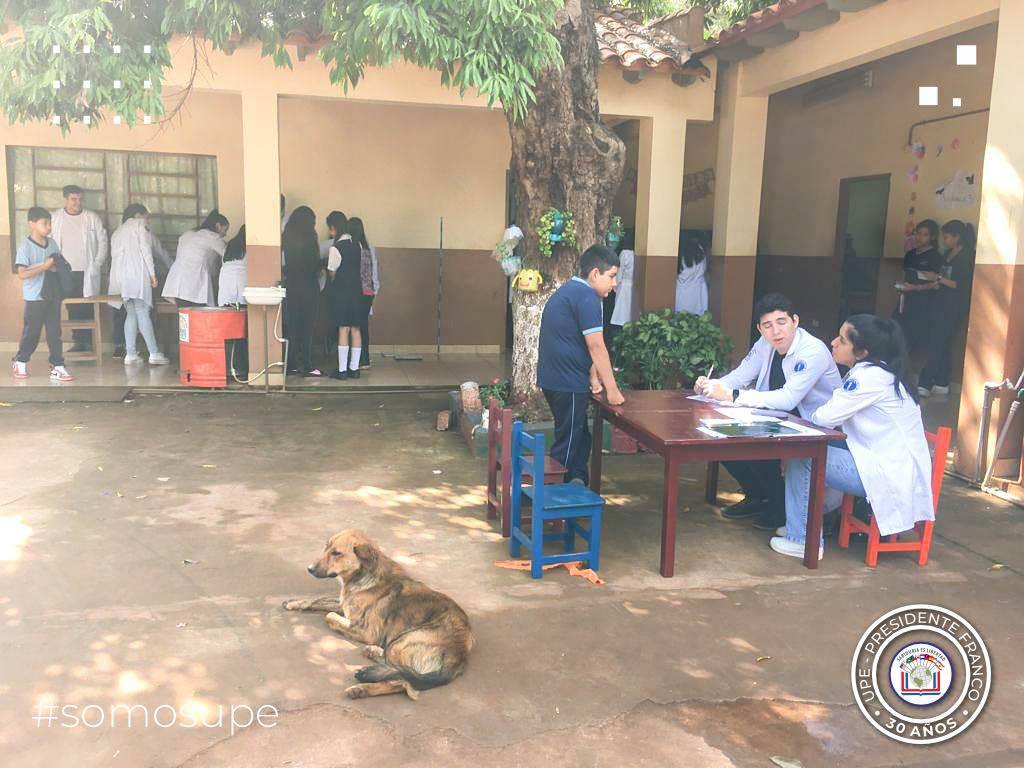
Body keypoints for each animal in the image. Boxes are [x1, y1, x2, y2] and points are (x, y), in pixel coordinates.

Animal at [280, 532, 471, 700]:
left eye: (336, 553)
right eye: (326, 548)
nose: (309, 569)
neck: (363, 576)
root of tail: (459, 654)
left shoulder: (366, 632)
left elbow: (329, 615)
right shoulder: (344, 604)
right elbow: (318, 600)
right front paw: (294, 602)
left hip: (401, 643)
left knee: (401, 681)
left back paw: (361, 689)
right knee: (399, 671)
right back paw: (373, 653)